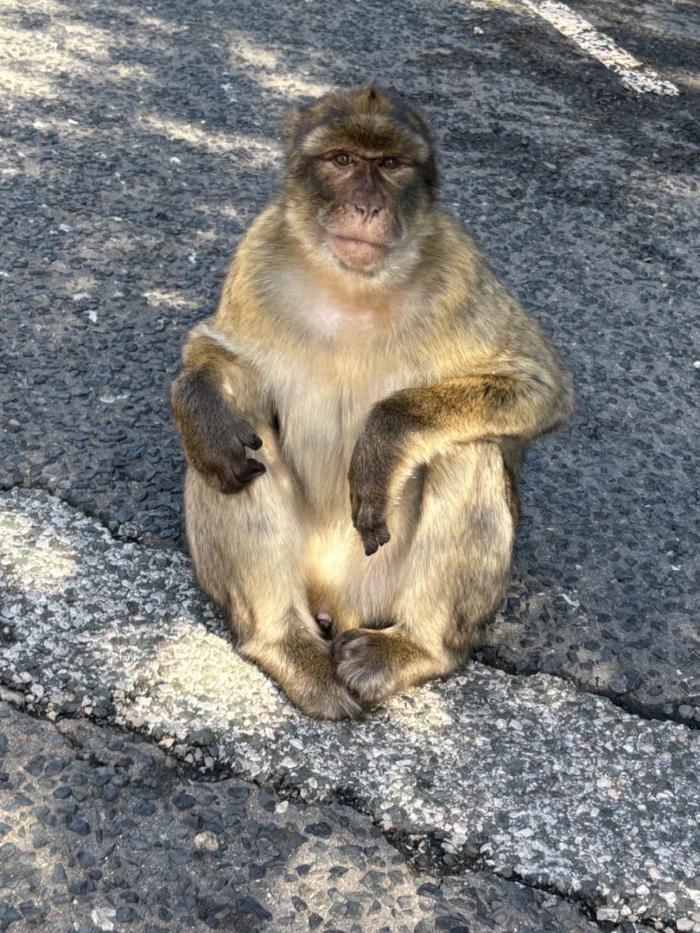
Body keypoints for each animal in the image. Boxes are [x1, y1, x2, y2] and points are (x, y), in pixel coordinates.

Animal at [171, 84, 573, 720]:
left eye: (390, 164)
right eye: (341, 160)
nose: (366, 207)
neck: (354, 288)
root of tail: (339, 603)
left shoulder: (459, 267)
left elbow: (540, 385)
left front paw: (383, 441)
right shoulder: (259, 251)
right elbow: (226, 360)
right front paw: (201, 402)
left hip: (385, 586)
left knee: (469, 450)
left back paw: (414, 648)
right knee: (233, 448)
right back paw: (284, 642)